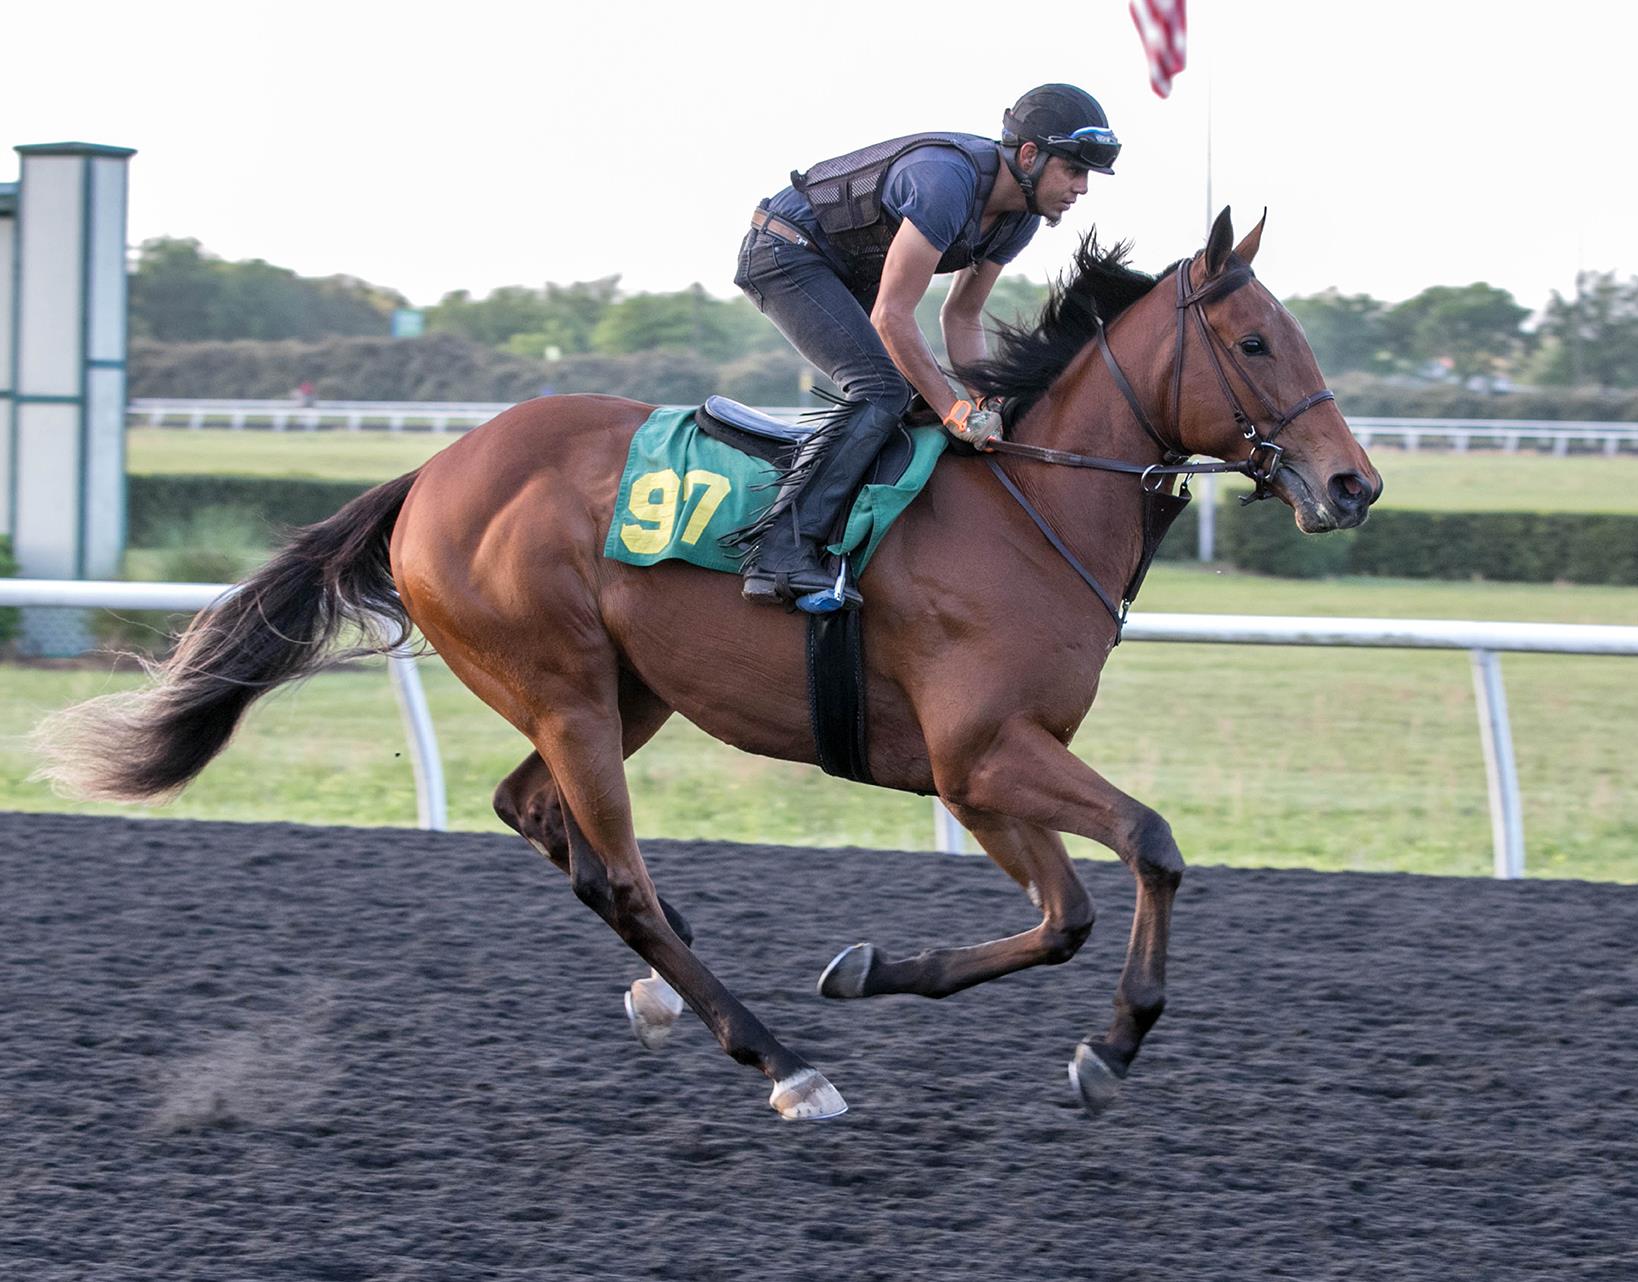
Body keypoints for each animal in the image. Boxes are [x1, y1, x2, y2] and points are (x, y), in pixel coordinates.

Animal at [36, 208, 1380, 1121]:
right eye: (1256, 341)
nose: (1355, 483)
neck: (1031, 510)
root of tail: (435, 473)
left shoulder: (986, 772)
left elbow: (1065, 914)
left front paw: (876, 969)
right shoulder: (980, 756)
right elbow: (1148, 847)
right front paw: (1114, 1045)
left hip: (624, 691)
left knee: (546, 821)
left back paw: (671, 993)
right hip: (566, 684)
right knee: (614, 872)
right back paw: (779, 1059)